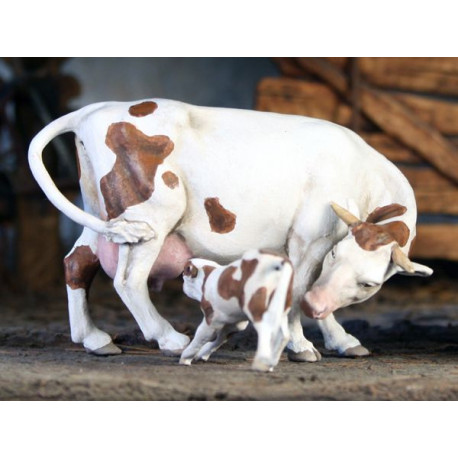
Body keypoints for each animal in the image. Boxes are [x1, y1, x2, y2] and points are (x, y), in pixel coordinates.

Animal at [27, 98, 430, 360]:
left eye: (369, 284)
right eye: (335, 254)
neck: (362, 175)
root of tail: (94, 109)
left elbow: (312, 293)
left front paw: (343, 341)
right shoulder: (308, 239)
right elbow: (300, 290)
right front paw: (301, 346)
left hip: (105, 215)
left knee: (77, 263)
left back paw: (94, 339)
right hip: (151, 215)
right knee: (128, 280)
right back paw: (168, 338)